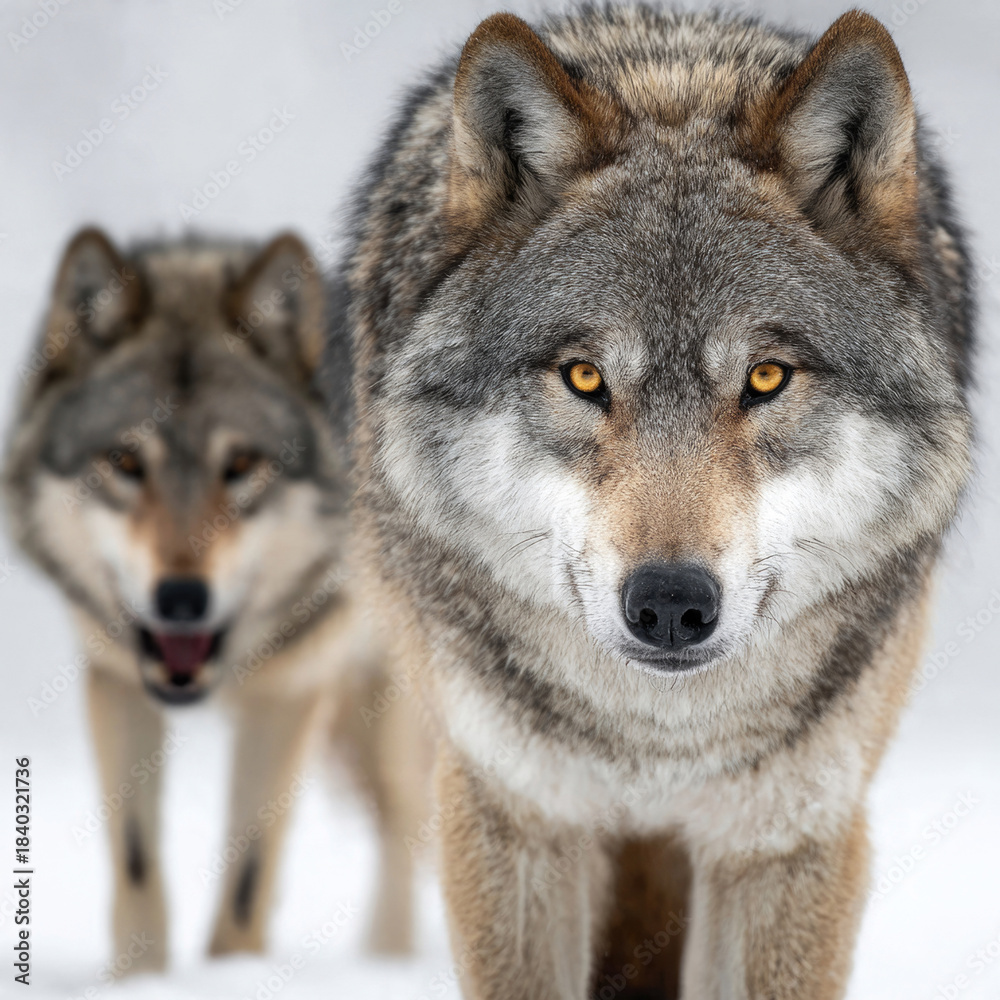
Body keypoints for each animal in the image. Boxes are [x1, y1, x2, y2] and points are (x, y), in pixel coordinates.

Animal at [3, 229, 423, 970]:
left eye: (241, 466)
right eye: (126, 463)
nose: (180, 600)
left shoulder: (289, 695)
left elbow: (249, 874)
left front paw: (234, 971)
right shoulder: (116, 683)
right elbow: (136, 863)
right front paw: (140, 978)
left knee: (403, 827)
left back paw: (390, 964)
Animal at [342, 6, 974, 998]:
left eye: (765, 377)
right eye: (585, 377)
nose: (671, 603)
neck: (655, 744)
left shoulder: (788, 836)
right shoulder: (515, 817)